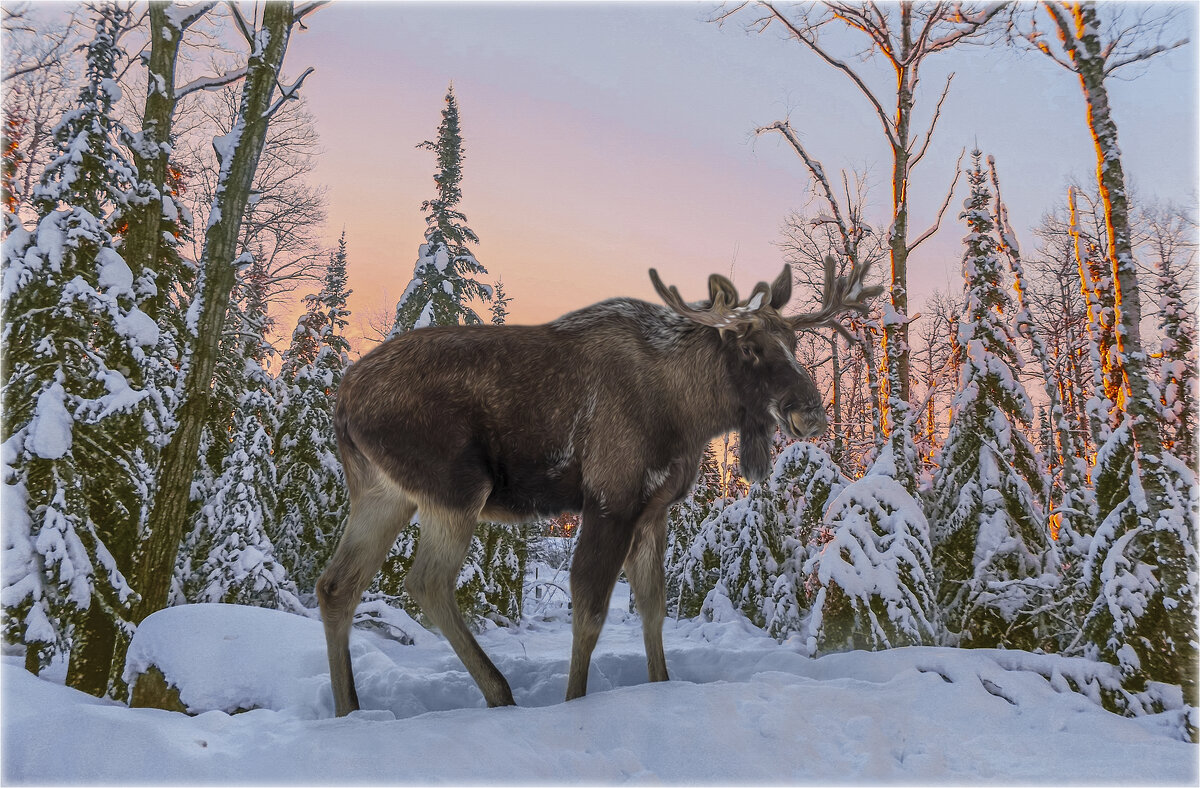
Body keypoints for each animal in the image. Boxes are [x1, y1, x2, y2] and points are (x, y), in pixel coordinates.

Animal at [319, 260, 883, 714]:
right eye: (749, 346)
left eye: (794, 342)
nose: (810, 412)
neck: (690, 414)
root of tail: (342, 400)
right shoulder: (613, 496)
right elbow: (590, 610)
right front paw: (575, 702)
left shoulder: (654, 508)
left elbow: (653, 608)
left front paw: (661, 685)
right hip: (456, 486)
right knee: (427, 582)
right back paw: (500, 694)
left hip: (383, 493)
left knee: (336, 586)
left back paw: (350, 710)